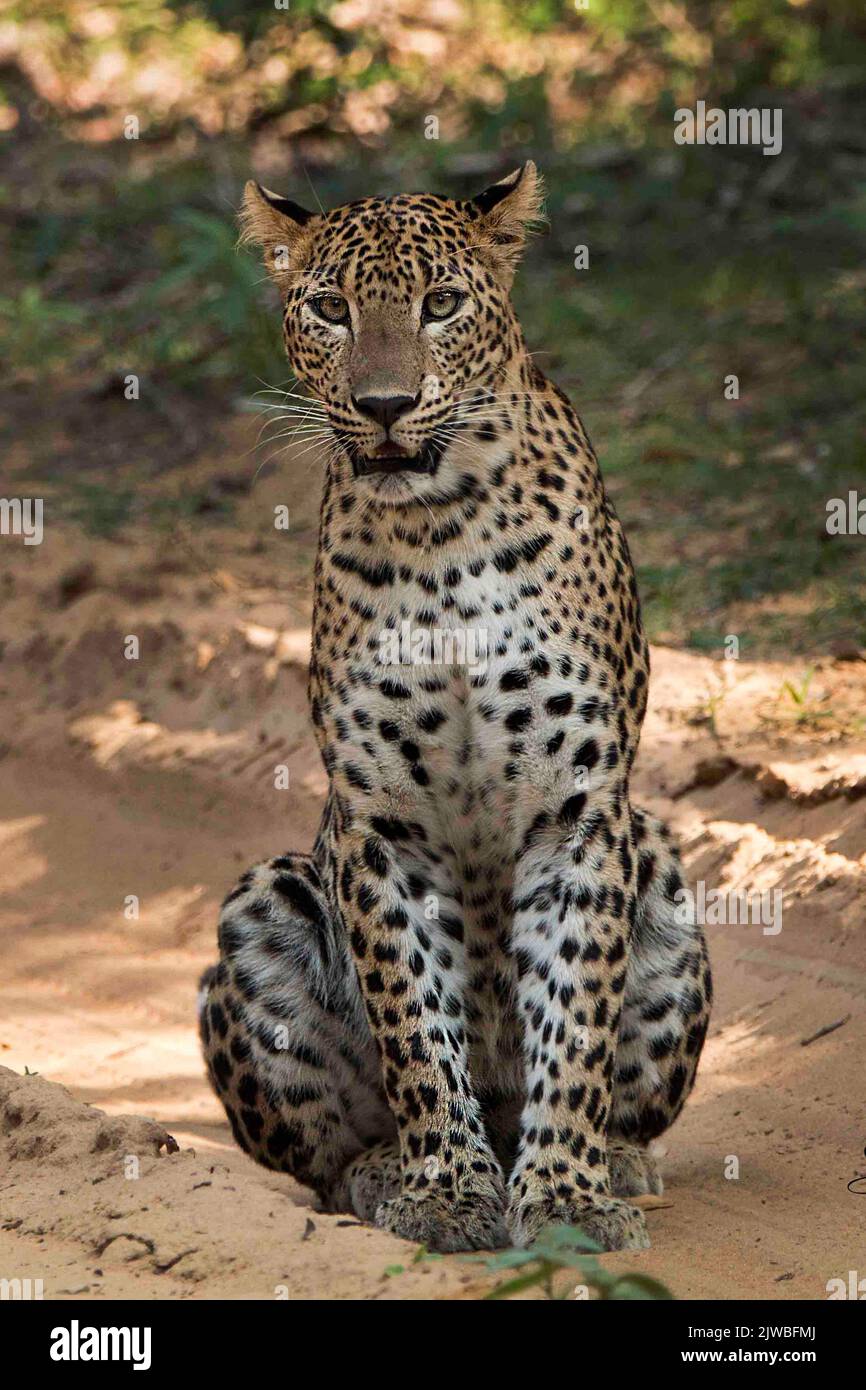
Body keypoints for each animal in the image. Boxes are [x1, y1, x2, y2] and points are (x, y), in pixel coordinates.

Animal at [200, 157, 717, 1256]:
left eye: (440, 304)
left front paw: (565, 1196)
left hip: (660, 867)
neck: (438, 536)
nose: (386, 403)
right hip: (264, 899)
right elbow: (413, 1025)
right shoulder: (381, 827)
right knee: (327, 1153)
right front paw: (444, 1188)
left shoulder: (577, 812)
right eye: (330, 309)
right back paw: (381, 1169)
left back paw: (613, 1158)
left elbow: (574, 1017)